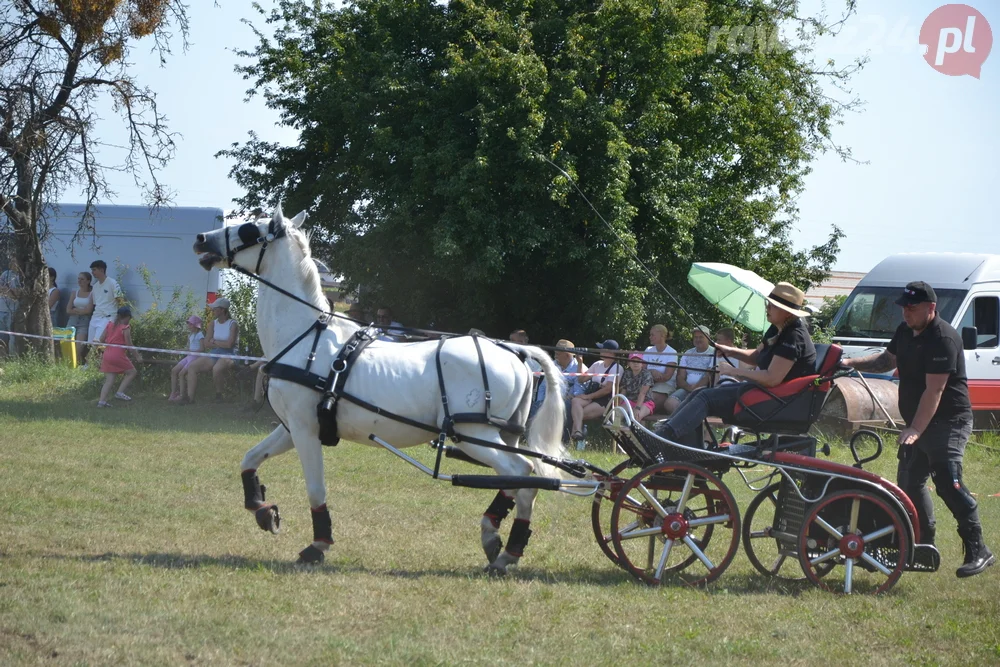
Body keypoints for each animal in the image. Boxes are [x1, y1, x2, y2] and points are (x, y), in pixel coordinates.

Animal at [193, 209, 572, 576]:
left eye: (250, 229)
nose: (201, 239)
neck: (304, 337)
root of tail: (514, 351)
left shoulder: (305, 429)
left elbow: (316, 489)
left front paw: (317, 545)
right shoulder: (289, 427)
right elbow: (249, 459)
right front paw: (263, 509)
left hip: (474, 434)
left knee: (522, 472)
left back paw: (502, 546)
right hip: (501, 435)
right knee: (517, 480)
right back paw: (499, 542)